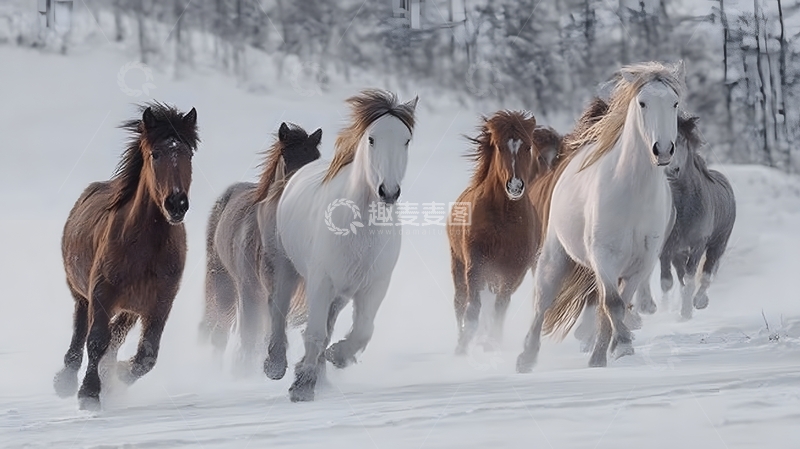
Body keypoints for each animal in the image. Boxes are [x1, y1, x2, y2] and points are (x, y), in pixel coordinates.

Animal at [54, 103, 199, 410]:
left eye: (188, 154)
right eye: (155, 154)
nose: (176, 204)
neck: (144, 247)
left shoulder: (160, 303)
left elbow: (146, 356)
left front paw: (114, 377)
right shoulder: (101, 294)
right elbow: (96, 340)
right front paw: (89, 393)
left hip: (131, 307)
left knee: (116, 334)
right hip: (83, 294)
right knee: (81, 327)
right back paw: (65, 380)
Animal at [268, 89, 417, 401]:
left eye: (406, 140)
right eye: (371, 139)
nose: (388, 192)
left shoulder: (375, 285)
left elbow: (362, 331)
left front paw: (337, 356)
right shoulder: (320, 281)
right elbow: (314, 332)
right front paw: (302, 387)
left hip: (341, 294)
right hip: (287, 267)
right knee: (279, 308)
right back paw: (275, 365)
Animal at [447, 111, 557, 354]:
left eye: (527, 146)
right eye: (498, 146)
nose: (515, 186)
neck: (503, 219)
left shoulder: (512, 271)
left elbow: (499, 308)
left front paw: (491, 343)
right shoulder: (475, 263)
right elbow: (472, 308)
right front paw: (463, 346)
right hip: (458, 263)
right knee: (460, 302)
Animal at [516, 61, 685, 371]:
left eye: (675, 103)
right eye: (642, 103)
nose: (663, 150)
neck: (632, 195)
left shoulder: (642, 263)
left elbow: (618, 304)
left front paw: (611, 350)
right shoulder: (604, 256)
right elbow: (613, 304)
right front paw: (623, 344)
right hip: (556, 255)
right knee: (543, 300)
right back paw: (526, 358)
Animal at [660, 115, 736, 319]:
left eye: (681, 138)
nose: (670, 170)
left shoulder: (698, 243)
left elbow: (691, 276)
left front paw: (687, 312)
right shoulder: (668, 247)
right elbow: (667, 281)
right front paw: (666, 312)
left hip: (718, 243)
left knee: (707, 273)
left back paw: (700, 301)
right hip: (680, 252)